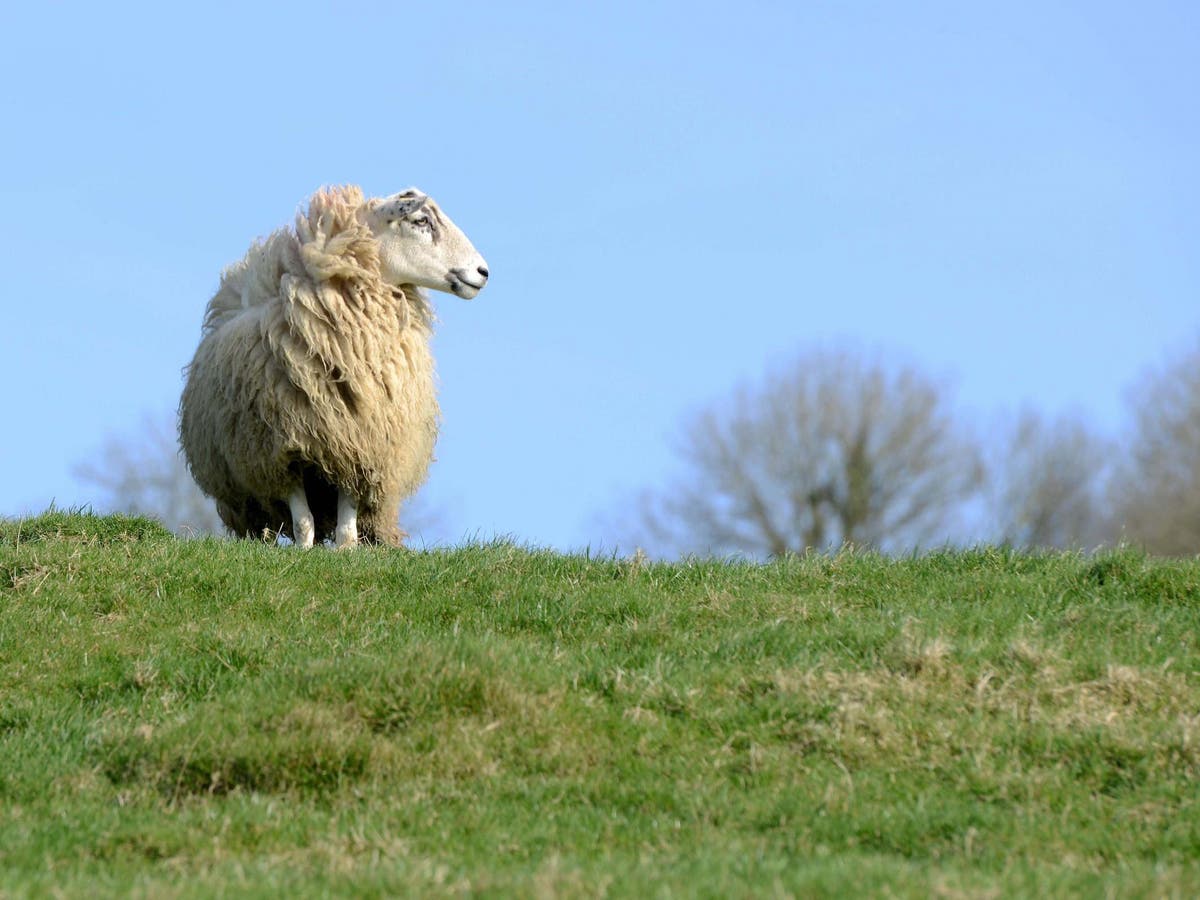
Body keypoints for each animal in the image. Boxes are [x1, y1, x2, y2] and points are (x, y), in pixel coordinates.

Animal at [179, 185, 489, 548]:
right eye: (421, 220)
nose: (483, 272)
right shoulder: (284, 450)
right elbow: (303, 521)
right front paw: (304, 550)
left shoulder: (359, 444)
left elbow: (346, 523)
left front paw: (345, 550)